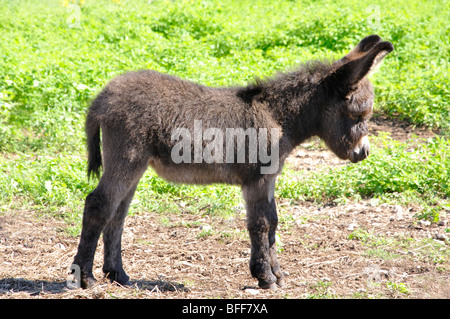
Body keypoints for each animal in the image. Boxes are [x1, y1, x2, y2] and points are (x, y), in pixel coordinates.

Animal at [72, 34, 392, 290]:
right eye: (358, 115)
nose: (363, 153)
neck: (278, 117)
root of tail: (102, 97)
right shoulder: (257, 179)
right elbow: (261, 224)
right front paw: (265, 277)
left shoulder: (269, 179)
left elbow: (273, 222)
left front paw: (277, 274)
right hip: (126, 158)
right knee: (99, 204)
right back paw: (85, 278)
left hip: (135, 166)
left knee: (117, 213)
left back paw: (118, 275)